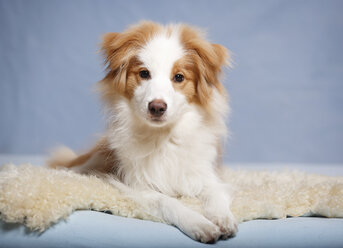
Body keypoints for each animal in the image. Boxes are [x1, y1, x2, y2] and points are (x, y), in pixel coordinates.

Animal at [47, 20, 238, 242]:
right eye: (144, 73)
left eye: (179, 77)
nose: (157, 107)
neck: (163, 137)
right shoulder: (136, 185)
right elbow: (167, 202)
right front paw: (199, 224)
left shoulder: (206, 175)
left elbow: (216, 195)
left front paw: (223, 219)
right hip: (98, 156)